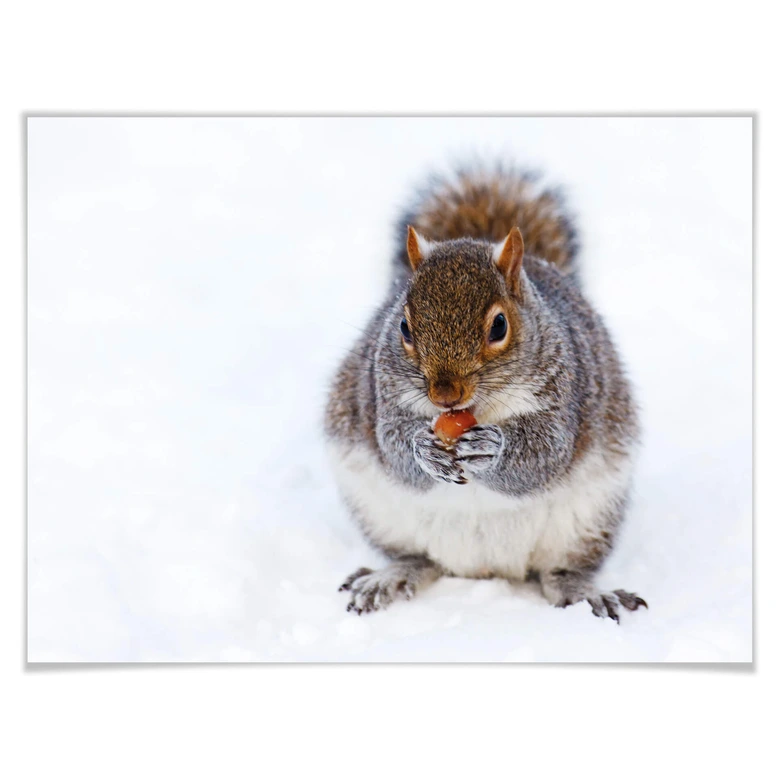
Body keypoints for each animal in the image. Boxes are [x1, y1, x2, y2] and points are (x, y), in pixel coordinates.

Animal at [324, 164, 647, 622]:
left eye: (499, 326)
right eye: (403, 326)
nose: (445, 395)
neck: (477, 409)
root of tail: (484, 568)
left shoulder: (566, 394)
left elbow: (545, 454)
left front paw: (491, 449)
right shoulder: (381, 392)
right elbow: (392, 446)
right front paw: (423, 449)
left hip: (588, 521)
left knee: (560, 571)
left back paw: (586, 593)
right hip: (379, 513)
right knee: (419, 558)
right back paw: (390, 577)